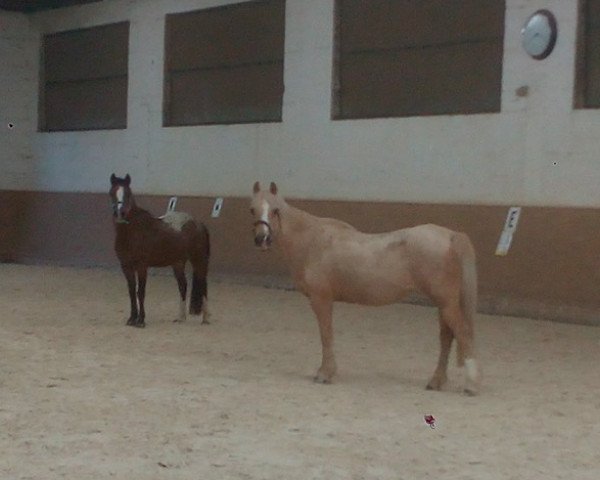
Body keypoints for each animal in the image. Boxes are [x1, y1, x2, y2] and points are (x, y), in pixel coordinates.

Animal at [109, 174, 210, 328]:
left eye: (127, 194)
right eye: (112, 193)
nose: (120, 213)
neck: (132, 231)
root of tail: (199, 224)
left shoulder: (142, 266)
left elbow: (140, 292)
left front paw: (141, 320)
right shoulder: (126, 267)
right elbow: (132, 292)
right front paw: (132, 319)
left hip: (198, 261)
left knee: (203, 285)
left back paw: (205, 318)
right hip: (178, 263)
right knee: (183, 286)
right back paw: (181, 318)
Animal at [251, 182, 480, 396]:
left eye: (275, 209)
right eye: (252, 209)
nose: (262, 239)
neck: (312, 241)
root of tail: (450, 235)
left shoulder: (321, 299)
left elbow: (326, 334)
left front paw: (325, 373)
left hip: (446, 304)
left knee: (463, 333)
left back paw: (471, 385)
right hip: (443, 304)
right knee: (447, 337)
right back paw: (436, 381)